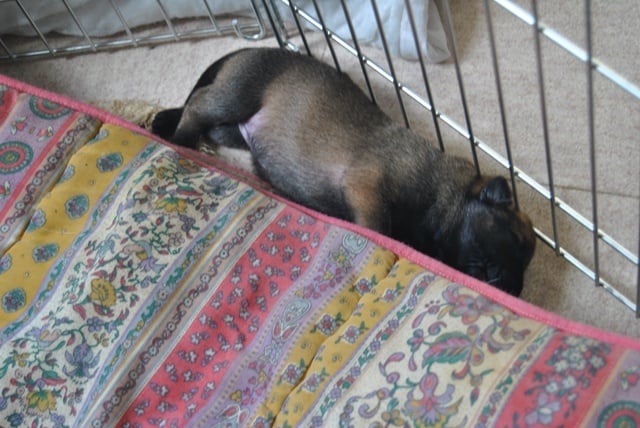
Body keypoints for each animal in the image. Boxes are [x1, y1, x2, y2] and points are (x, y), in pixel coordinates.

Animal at [152, 47, 536, 296]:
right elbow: (378, 227)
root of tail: (247, 49)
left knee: (209, 124)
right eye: (514, 238)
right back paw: (178, 139)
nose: (514, 291)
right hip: (237, 94)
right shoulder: (368, 186)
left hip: (232, 128)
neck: (446, 191)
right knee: (197, 105)